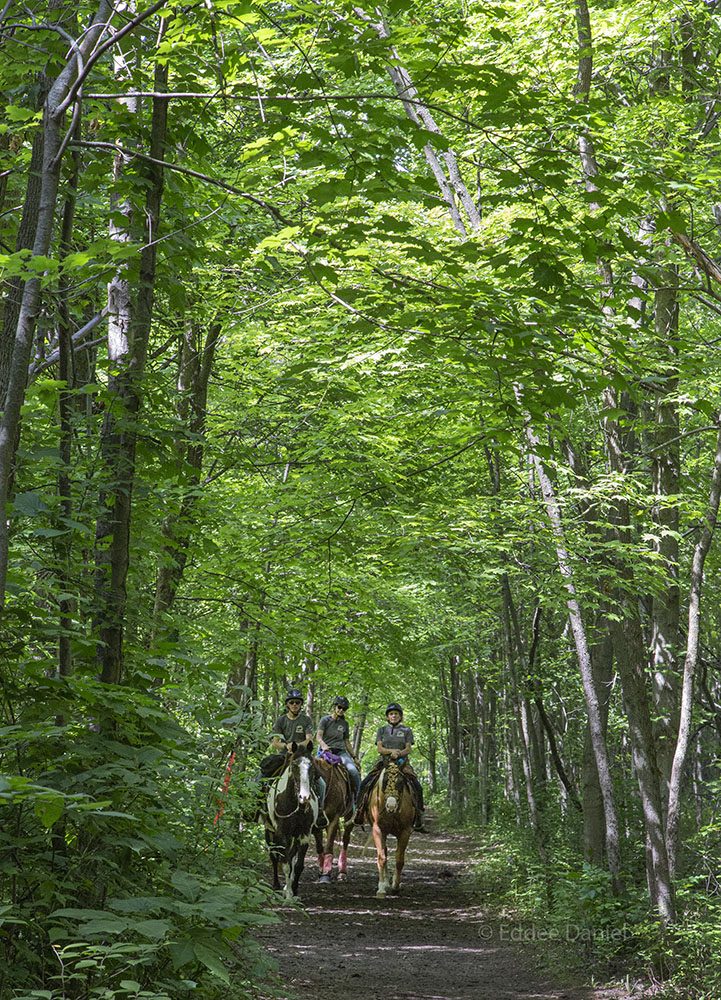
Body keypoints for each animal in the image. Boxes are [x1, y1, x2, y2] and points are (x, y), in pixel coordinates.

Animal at [262, 744, 320, 900]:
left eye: (312, 766)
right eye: (294, 765)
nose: (304, 797)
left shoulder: (304, 834)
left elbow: (298, 865)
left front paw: (293, 890)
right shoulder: (282, 834)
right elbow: (286, 864)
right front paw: (288, 896)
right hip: (269, 831)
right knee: (274, 856)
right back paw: (276, 885)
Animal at [312, 756, 354, 884]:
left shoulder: (334, 818)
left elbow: (329, 847)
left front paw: (326, 874)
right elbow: (319, 847)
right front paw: (321, 870)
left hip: (350, 815)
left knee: (345, 839)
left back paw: (342, 872)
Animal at [368, 756, 414, 900]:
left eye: (400, 782)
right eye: (384, 781)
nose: (391, 806)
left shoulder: (405, 831)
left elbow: (399, 859)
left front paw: (396, 886)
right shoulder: (378, 830)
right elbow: (381, 857)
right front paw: (382, 888)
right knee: (385, 852)